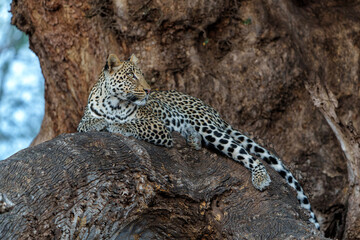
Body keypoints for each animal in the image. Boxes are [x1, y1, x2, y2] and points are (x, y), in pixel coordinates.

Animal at [79, 53, 320, 230]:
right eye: (131, 76)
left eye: (142, 75)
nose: (148, 90)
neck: (114, 103)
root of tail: (211, 109)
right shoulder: (84, 121)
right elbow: (89, 123)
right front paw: (102, 123)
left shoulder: (157, 127)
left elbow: (132, 125)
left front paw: (116, 125)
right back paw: (192, 139)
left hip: (210, 128)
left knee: (245, 152)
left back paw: (260, 177)